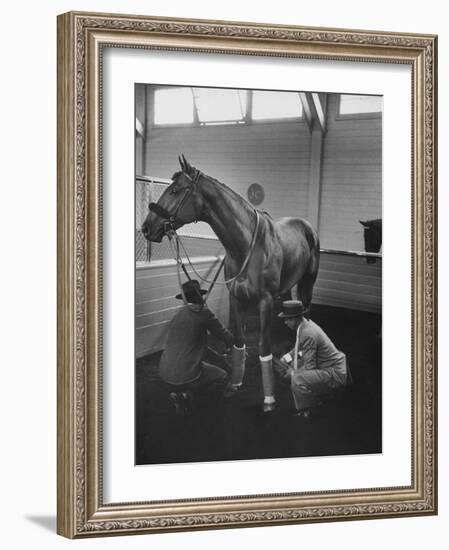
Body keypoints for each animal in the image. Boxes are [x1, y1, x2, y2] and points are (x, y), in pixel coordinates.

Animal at [142, 155, 320, 414]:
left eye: (175, 190)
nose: (146, 227)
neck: (246, 246)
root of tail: (307, 226)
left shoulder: (265, 301)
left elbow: (263, 347)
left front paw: (269, 399)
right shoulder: (235, 298)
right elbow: (238, 340)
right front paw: (234, 384)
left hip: (308, 281)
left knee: (305, 312)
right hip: (286, 287)